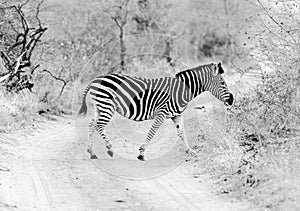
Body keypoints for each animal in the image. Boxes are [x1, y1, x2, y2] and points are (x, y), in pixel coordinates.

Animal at [77, 61, 234, 161]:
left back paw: (92, 152)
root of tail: (96, 79)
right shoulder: (161, 113)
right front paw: (141, 153)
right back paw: (109, 148)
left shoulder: (176, 115)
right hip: (107, 106)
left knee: (92, 125)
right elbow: (152, 132)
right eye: (222, 83)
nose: (232, 100)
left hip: (100, 107)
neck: (181, 91)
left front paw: (190, 151)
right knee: (98, 125)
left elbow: (182, 133)